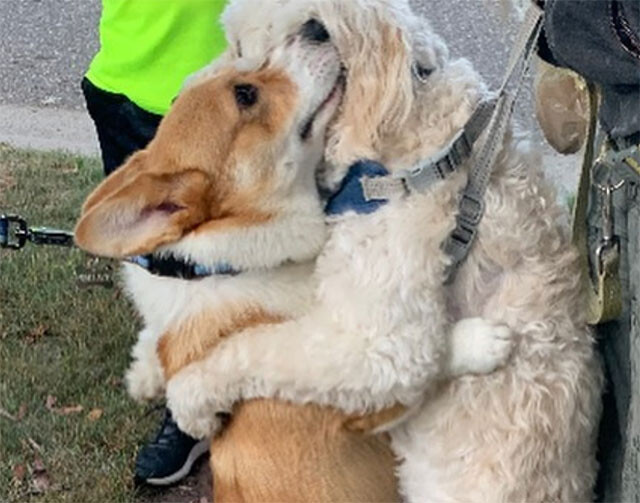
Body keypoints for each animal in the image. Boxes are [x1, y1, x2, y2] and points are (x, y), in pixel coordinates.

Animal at [72, 0, 604, 502]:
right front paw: (146, 369)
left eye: (246, 67)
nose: (315, 29)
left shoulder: (379, 346)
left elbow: (253, 351)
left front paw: (189, 397)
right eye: (239, 45)